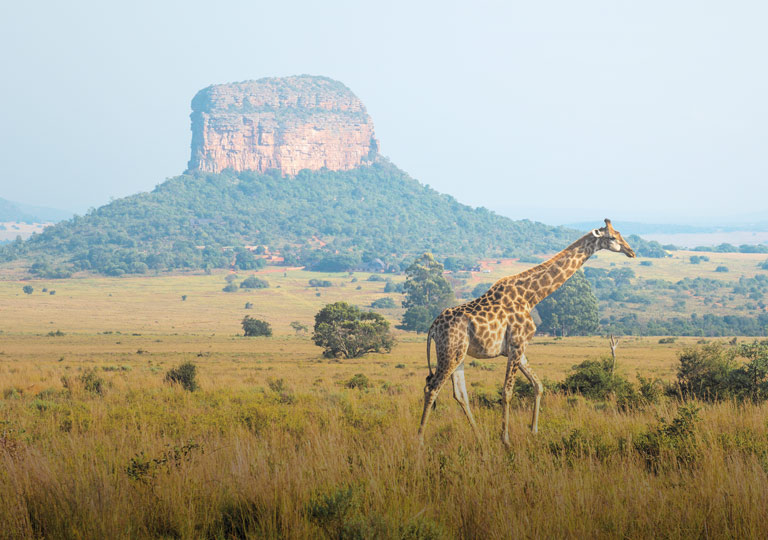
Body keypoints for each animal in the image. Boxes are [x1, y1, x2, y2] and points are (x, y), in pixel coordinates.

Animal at [420, 217, 636, 446]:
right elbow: (507, 392)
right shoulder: (516, 345)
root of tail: (433, 328)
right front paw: (506, 439)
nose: (631, 251)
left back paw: (479, 438)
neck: (531, 297)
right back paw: (420, 440)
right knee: (432, 388)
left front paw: (534, 431)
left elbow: (538, 385)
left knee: (460, 394)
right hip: (450, 352)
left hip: (458, 354)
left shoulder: (519, 348)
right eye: (612, 237)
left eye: (620, 234)